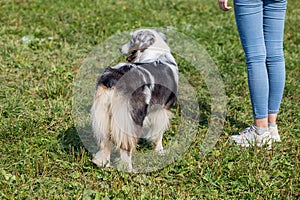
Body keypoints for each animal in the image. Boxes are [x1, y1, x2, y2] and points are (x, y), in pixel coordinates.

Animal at [89, 28, 178, 171]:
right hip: (132, 117)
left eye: (132, 40)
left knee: (105, 142)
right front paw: (160, 151)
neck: (157, 53)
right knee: (126, 148)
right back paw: (129, 170)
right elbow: (159, 134)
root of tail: (114, 78)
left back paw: (103, 164)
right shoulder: (162, 109)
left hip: (105, 114)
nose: (120, 48)